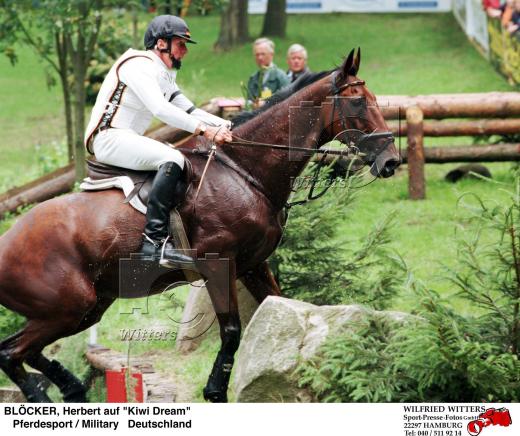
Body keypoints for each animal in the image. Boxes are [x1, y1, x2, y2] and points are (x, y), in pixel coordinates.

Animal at [0, 48, 400, 403]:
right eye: (358, 103)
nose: (391, 161)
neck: (245, 170)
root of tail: (6, 240)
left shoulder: (253, 265)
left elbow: (278, 311)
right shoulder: (218, 265)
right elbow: (232, 331)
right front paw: (215, 391)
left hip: (88, 307)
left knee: (24, 351)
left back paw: (71, 388)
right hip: (68, 306)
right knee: (10, 352)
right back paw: (49, 395)